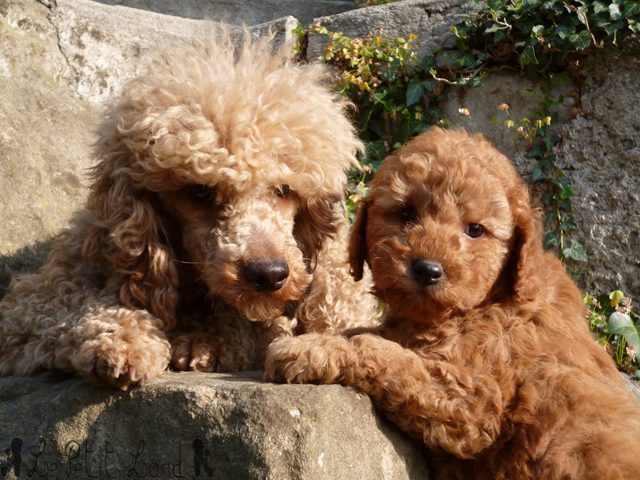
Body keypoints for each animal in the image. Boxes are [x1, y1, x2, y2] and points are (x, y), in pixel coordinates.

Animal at [268, 127, 640, 480]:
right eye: (406, 213)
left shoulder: (476, 403)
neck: (485, 303)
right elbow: (375, 334)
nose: (427, 269)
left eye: (475, 229)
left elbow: (390, 356)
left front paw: (309, 349)